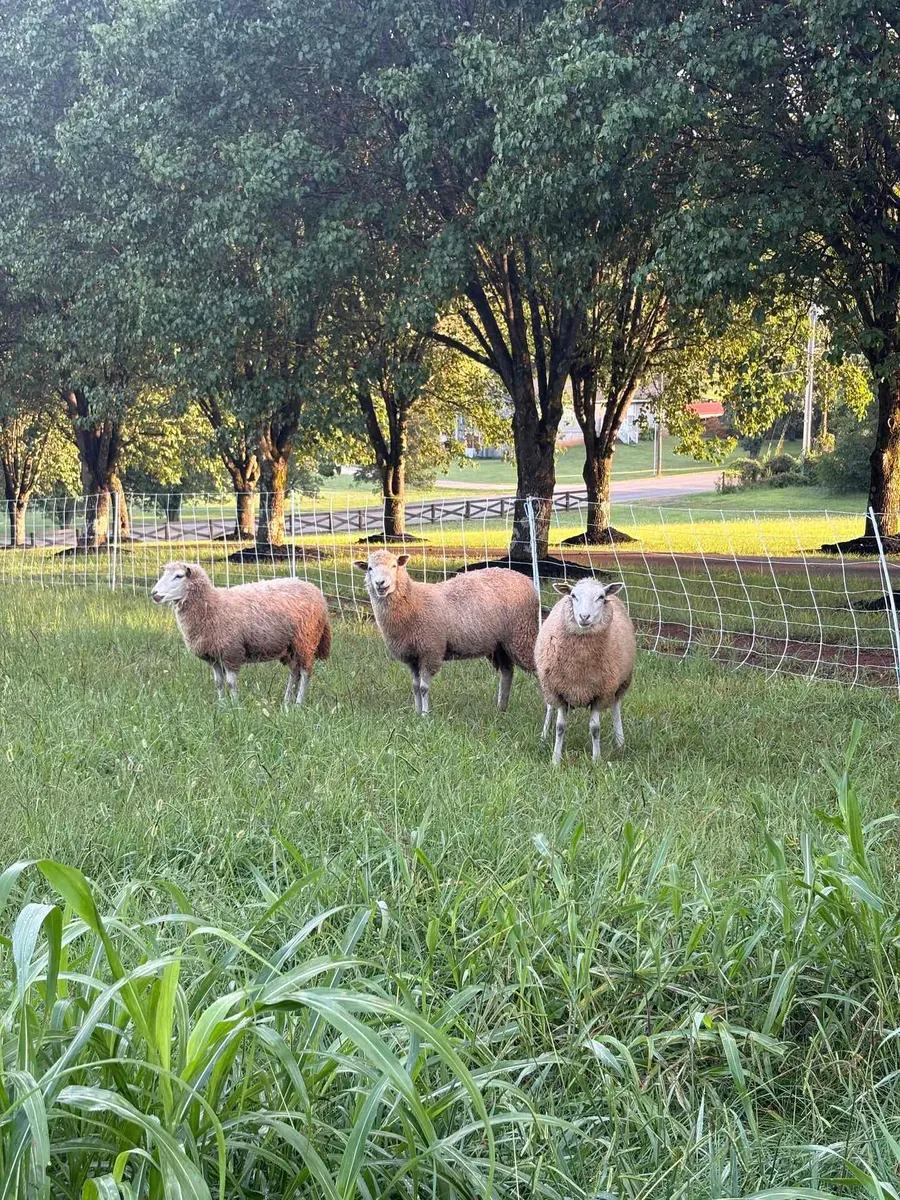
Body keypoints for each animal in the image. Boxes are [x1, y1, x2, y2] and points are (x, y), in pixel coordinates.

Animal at [151, 561, 331, 705]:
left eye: (179, 576)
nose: (154, 594)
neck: (211, 605)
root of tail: (316, 590)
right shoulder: (213, 656)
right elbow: (218, 682)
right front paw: (222, 706)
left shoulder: (231, 652)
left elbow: (231, 683)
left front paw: (235, 707)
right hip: (290, 646)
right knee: (294, 672)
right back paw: (286, 702)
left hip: (306, 640)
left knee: (306, 673)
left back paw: (298, 704)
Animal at [354, 550, 541, 714]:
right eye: (370, 568)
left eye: (394, 566)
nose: (380, 583)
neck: (413, 601)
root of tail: (525, 579)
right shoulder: (412, 656)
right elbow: (415, 687)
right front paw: (416, 712)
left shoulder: (430, 650)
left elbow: (423, 688)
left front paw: (425, 715)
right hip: (500, 644)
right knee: (507, 673)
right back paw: (501, 709)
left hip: (521, 634)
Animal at [535, 577, 636, 765]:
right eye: (574, 596)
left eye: (601, 597)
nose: (584, 617)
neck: (579, 669)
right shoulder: (559, 690)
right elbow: (560, 727)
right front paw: (555, 760)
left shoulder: (600, 693)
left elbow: (595, 728)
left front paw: (596, 760)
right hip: (548, 685)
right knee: (550, 707)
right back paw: (543, 738)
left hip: (621, 684)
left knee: (616, 707)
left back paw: (620, 743)